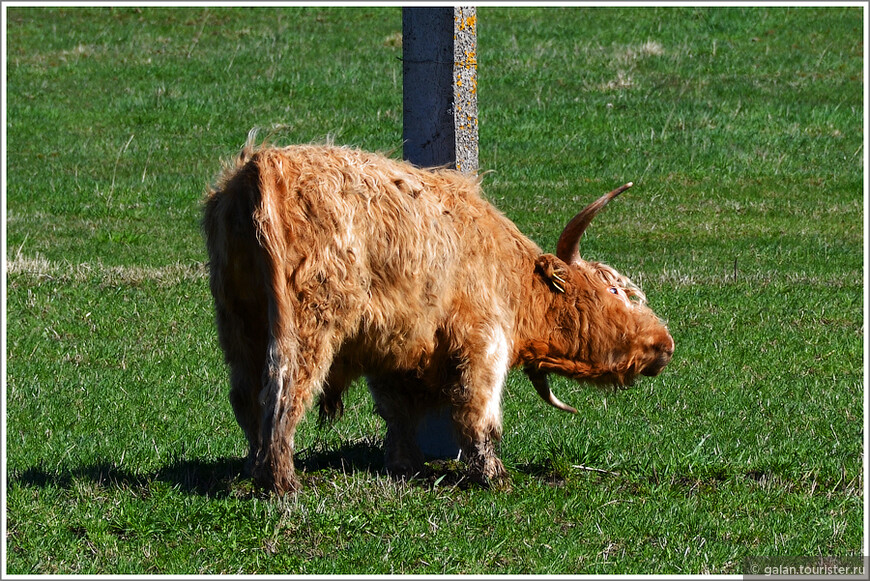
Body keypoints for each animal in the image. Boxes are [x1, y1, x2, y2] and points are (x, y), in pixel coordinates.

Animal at [203, 136, 676, 494]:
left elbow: (398, 413)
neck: (513, 276)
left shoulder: (392, 346)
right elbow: (476, 412)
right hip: (307, 325)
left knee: (245, 396)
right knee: (283, 392)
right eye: (616, 290)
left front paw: (406, 466)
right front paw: (494, 476)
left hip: (239, 322)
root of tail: (263, 163)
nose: (666, 343)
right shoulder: (483, 341)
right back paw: (282, 483)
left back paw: (254, 469)